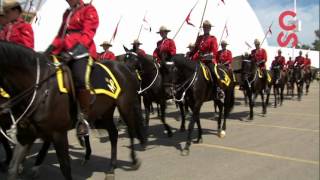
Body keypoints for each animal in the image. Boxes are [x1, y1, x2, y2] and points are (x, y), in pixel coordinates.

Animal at [0, 41, 147, 179]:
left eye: (135, 59)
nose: (3, 109)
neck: (41, 88)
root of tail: (125, 68)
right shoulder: (26, 135)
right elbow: (13, 168)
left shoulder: (58, 133)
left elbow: (65, 168)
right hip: (105, 112)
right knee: (113, 133)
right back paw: (111, 167)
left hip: (125, 106)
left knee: (131, 130)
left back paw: (134, 160)